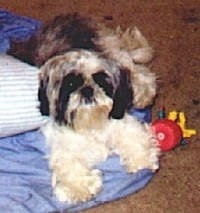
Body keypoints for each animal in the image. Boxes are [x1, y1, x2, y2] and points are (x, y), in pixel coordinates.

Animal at [9, 13, 160, 205]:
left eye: (101, 80)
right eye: (71, 83)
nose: (87, 90)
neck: (90, 122)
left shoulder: (122, 123)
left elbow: (135, 138)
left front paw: (141, 159)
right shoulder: (65, 146)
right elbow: (68, 165)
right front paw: (79, 187)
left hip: (116, 56)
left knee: (141, 74)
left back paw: (143, 95)